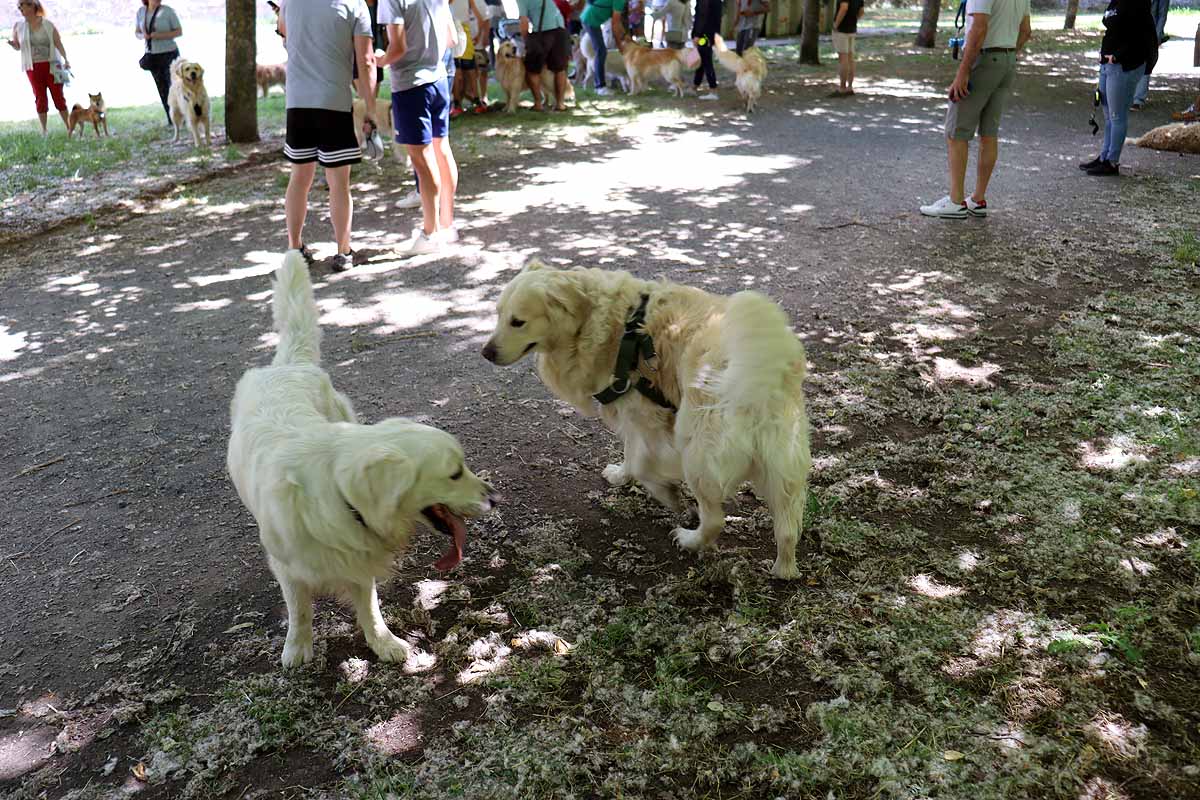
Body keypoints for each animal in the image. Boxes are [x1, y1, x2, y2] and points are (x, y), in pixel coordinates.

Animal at [229, 253, 496, 666]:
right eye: (454, 473)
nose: (495, 497)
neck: (338, 494)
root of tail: (288, 364)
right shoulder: (288, 567)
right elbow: (299, 609)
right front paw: (298, 647)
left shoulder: (360, 552)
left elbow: (369, 605)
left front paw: (383, 642)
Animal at [482, 262, 811, 582]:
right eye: (497, 314)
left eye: (518, 322)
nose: (486, 353)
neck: (598, 320)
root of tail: (762, 381)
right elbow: (632, 457)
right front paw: (623, 476)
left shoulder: (642, 414)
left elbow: (639, 461)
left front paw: (664, 492)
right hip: (783, 467)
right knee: (787, 529)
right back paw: (784, 570)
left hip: (696, 452)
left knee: (715, 519)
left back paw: (690, 539)